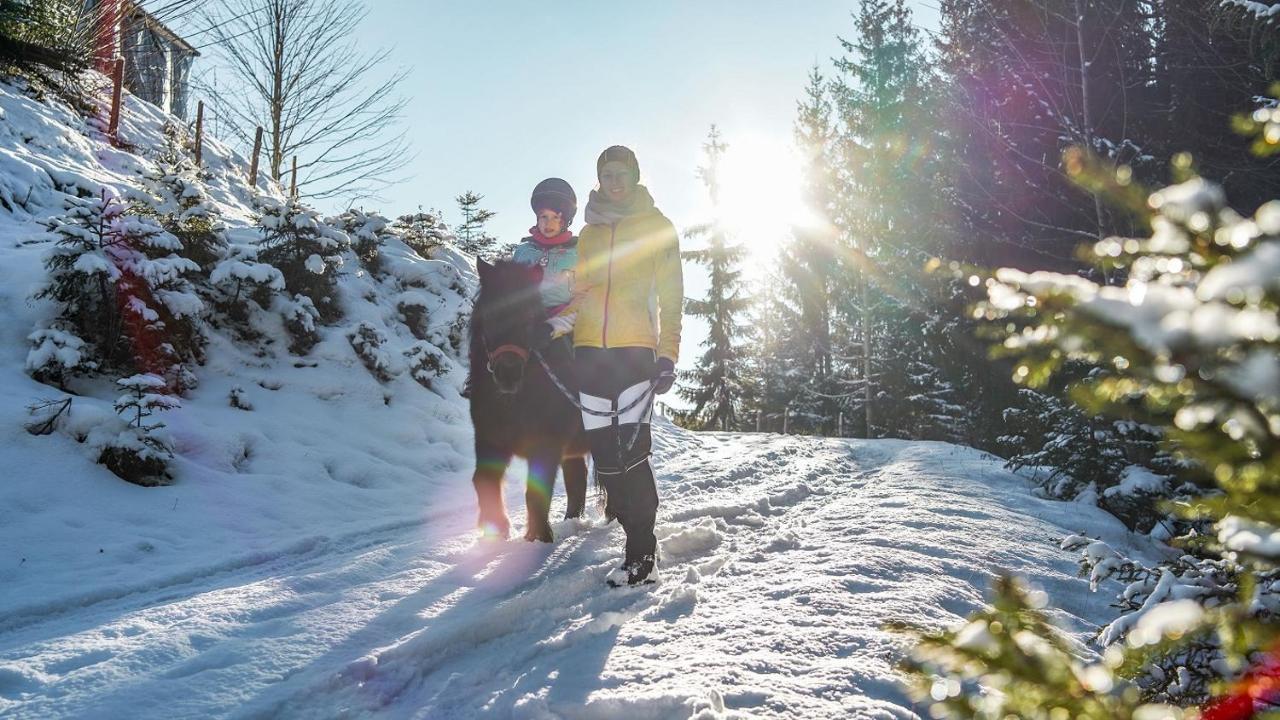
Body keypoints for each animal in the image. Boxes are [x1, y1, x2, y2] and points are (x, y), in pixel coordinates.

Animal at [471, 257, 588, 538]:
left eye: (529, 318)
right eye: (489, 316)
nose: (508, 374)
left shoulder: (547, 445)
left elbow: (536, 492)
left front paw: (539, 537)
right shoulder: (489, 439)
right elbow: (483, 480)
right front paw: (496, 528)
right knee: (577, 477)